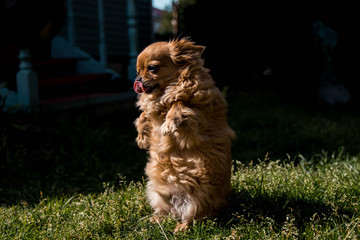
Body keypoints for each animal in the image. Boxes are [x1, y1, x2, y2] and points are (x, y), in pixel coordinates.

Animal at [134, 38, 235, 232]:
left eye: (152, 68)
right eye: (138, 71)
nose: (137, 79)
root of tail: (177, 206)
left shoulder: (200, 115)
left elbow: (180, 103)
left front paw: (169, 122)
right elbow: (144, 115)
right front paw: (141, 136)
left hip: (198, 199)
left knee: (193, 218)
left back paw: (181, 228)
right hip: (157, 193)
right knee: (166, 212)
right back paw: (155, 220)